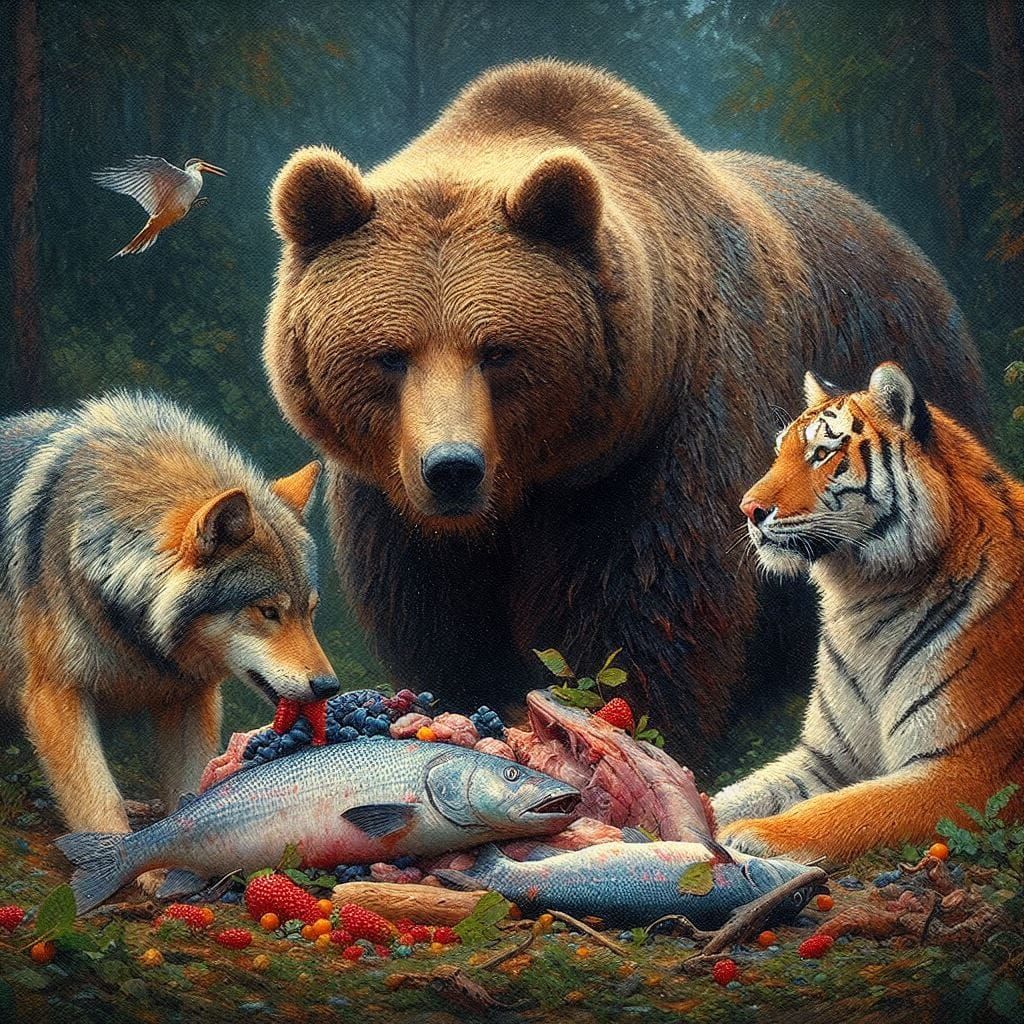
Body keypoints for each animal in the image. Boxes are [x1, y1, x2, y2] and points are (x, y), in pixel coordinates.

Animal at [0, 392, 338, 848]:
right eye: (268, 611)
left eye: (310, 611)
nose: (329, 687)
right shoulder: (55, 696)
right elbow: (98, 800)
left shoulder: (190, 698)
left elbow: (192, 785)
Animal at [263, 60, 987, 755]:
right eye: (390, 354)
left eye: (497, 351)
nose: (452, 470)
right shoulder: (394, 505)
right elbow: (441, 622)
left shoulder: (657, 442)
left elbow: (641, 605)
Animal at [713, 361, 1024, 862]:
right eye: (779, 453)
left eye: (822, 453)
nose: (748, 508)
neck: (866, 599)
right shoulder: (827, 758)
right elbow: (743, 791)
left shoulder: (970, 772)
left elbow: (852, 808)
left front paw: (756, 833)